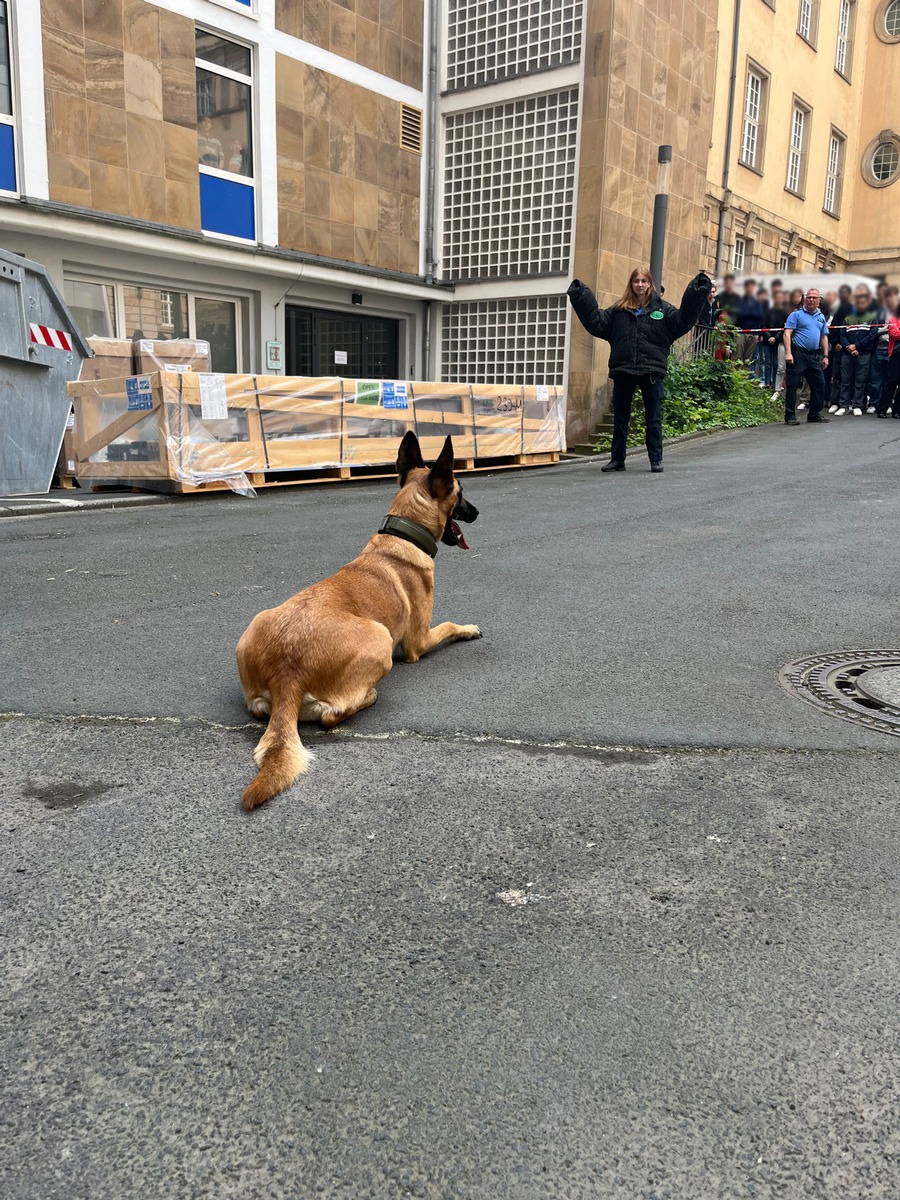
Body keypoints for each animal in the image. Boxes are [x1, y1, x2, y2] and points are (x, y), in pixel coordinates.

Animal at [236, 427, 482, 811]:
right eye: (461, 491)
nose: (477, 512)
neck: (402, 536)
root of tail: (287, 673)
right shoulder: (419, 641)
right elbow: (449, 625)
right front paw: (469, 628)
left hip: (257, 628)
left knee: (261, 709)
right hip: (380, 639)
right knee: (330, 715)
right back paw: (368, 696)